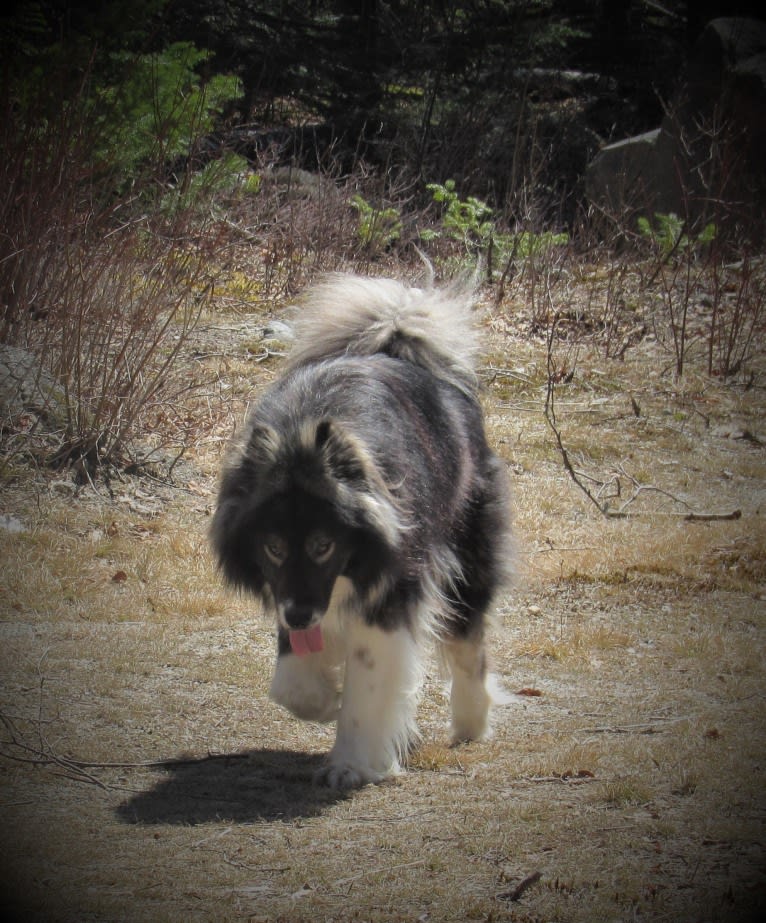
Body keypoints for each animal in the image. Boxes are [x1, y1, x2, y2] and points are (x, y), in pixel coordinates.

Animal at [210, 272, 512, 788]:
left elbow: (368, 683)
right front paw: (325, 700)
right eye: (273, 547)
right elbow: (292, 685)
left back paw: (472, 722)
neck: (304, 429)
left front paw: (353, 765)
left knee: (467, 638)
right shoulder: (291, 593)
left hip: (468, 548)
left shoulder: (392, 585)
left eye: (323, 545)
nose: (299, 617)